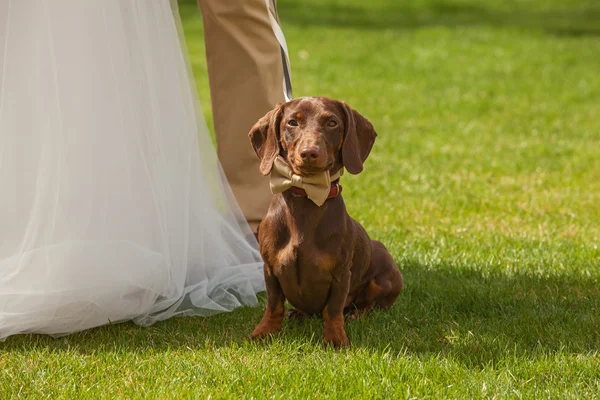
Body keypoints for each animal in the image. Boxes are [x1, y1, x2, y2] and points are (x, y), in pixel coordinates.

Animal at [248, 97, 404, 346]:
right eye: (292, 122)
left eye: (332, 122)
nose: (309, 153)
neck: (307, 196)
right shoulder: (270, 269)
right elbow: (274, 305)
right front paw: (264, 332)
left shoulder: (341, 274)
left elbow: (332, 309)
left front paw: (336, 339)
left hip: (386, 275)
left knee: (372, 305)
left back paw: (356, 314)